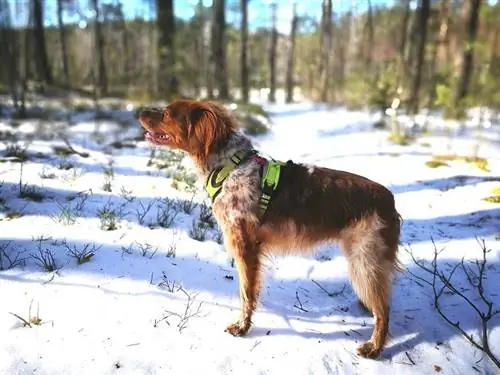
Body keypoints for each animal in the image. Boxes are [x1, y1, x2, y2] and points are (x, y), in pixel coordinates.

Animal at [139, 100, 404, 362]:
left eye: (167, 113)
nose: (140, 111)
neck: (229, 167)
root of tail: (388, 199)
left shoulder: (245, 247)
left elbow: (246, 293)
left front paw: (242, 327)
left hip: (365, 263)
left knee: (384, 310)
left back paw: (374, 348)